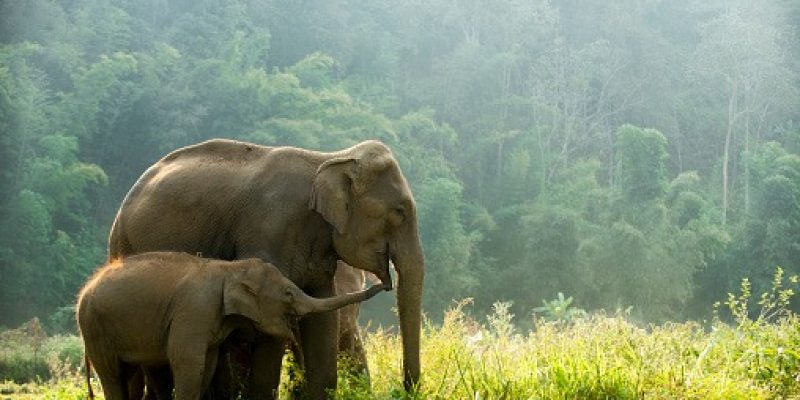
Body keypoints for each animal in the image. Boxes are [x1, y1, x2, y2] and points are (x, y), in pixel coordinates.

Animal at [77, 253, 384, 400]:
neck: (229, 269)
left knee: (125, 373)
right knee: (112, 375)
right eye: (288, 294)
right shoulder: (194, 311)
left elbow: (208, 363)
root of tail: (84, 290)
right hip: (94, 326)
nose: (384, 283)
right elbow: (187, 360)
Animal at [111, 139, 424, 398]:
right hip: (125, 247)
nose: (384, 283)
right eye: (399, 212)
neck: (331, 158)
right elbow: (269, 325)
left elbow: (323, 320)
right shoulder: (269, 235)